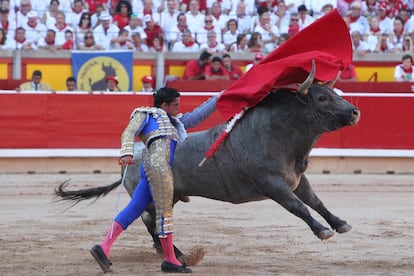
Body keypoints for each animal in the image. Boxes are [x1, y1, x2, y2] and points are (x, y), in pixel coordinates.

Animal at [55, 66, 360, 264]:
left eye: (333, 93)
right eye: (322, 97)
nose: (355, 111)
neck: (281, 134)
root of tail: (132, 159)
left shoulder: (297, 179)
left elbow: (315, 201)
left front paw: (340, 224)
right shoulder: (272, 184)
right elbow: (298, 207)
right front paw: (323, 231)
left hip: (169, 195)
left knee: (153, 221)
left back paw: (169, 252)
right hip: (152, 194)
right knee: (148, 219)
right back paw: (173, 254)